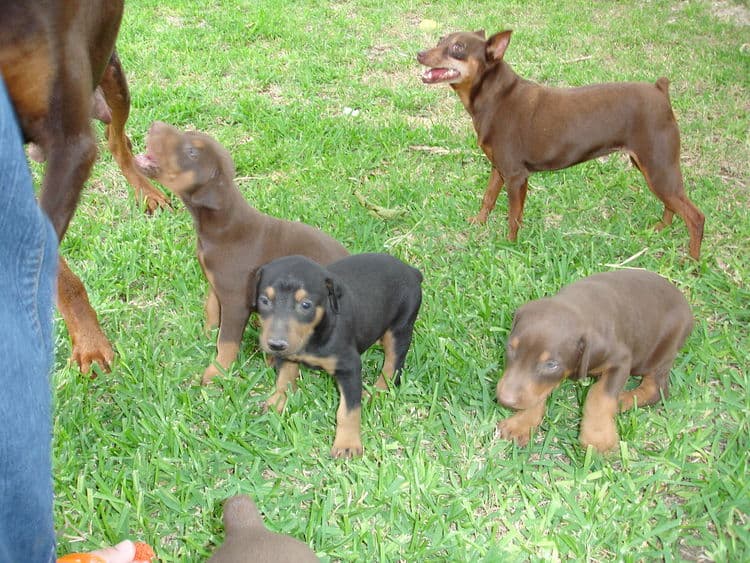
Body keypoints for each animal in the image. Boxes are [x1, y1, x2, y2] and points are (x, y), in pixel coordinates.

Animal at [137, 124, 350, 386]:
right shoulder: (216, 283)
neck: (222, 227)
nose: (155, 125)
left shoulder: (236, 300)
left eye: (192, 152)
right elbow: (211, 309)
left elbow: (227, 341)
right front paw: (206, 335)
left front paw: (216, 371)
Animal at [258, 254, 424, 458]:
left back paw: (375, 392)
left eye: (306, 304)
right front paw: (278, 401)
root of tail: (411, 271)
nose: (276, 345)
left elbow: (348, 411)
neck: (315, 331)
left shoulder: (349, 367)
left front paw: (347, 444)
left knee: (392, 368)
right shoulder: (289, 354)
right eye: (264, 300)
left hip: (401, 327)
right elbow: (284, 378)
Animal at [420, 30, 708, 260]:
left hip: (658, 168)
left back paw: (691, 263)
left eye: (457, 48)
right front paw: (479, 223)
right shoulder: (498, 169)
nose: (419, 54)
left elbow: (513, 216)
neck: (494, 96)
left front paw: (510, 245)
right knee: (673, 204)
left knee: (695, 217)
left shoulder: (516, 176)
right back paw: (662, 229)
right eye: (440, 39)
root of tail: (660, 91)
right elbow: (488, 198)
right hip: (652, 168)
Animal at [496, 270, 696, 454]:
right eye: (511, 347)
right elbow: (537, 392)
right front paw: (521, 423)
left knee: (657, 389)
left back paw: (622, 399)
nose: (505, 400)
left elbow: (598, 394)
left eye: (551, 364)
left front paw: (598, 437)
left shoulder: (621, 361)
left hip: (659, 353)